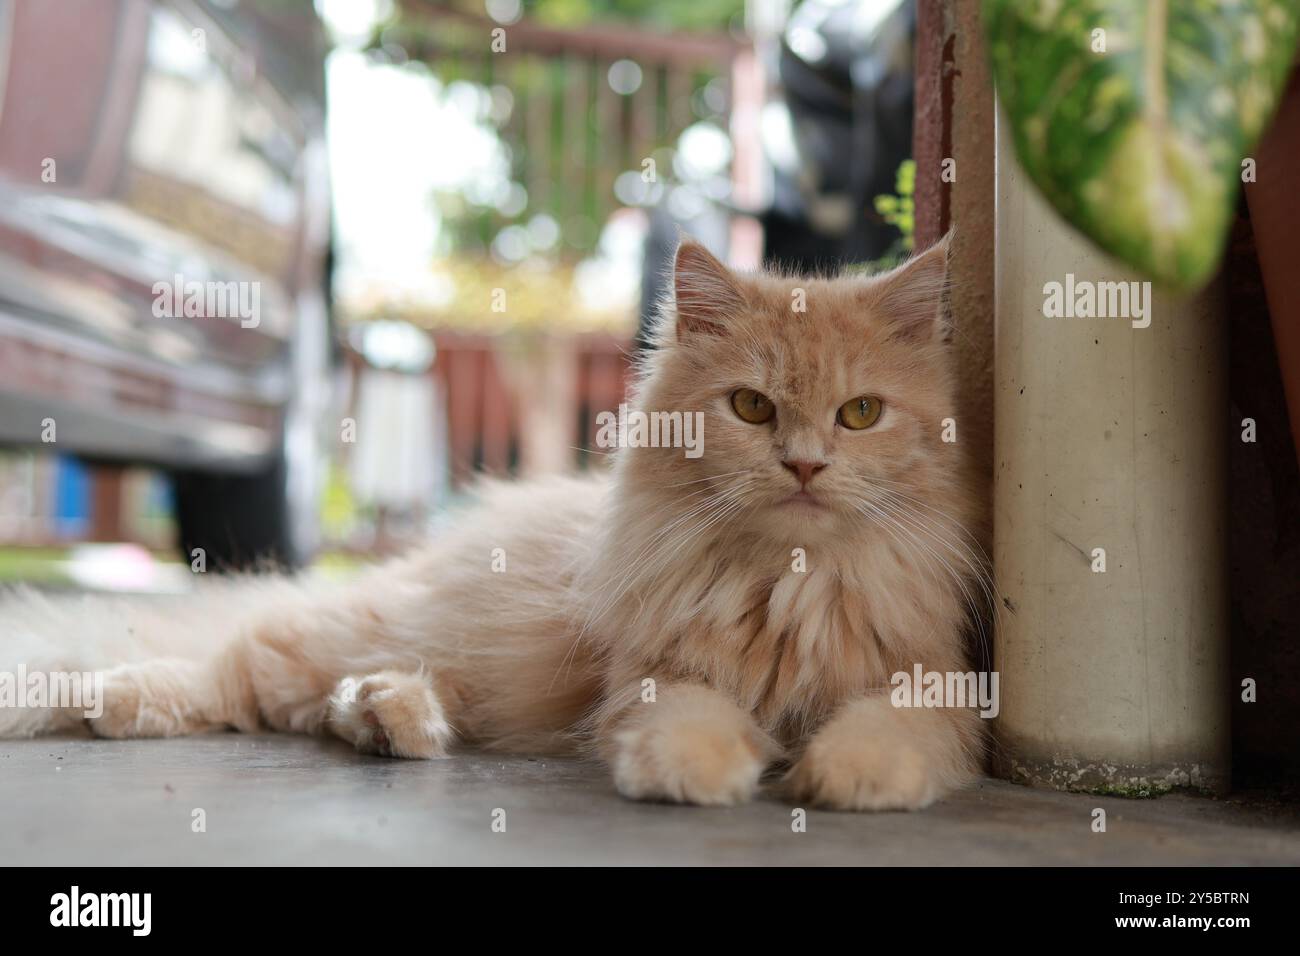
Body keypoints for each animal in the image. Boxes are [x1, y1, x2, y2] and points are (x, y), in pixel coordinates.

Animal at [0, 235, 982, 811]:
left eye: (860, 414)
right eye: (750, 407)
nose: (806, 465)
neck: (789, 584)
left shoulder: (934, 684)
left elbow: (889, 731)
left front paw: (848, 775)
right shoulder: (657, 676)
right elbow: (692, 723)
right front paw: (701, 774)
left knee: (319, 693)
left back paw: (387, 718)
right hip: (386, 629)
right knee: (238, 656)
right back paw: (114, 701)